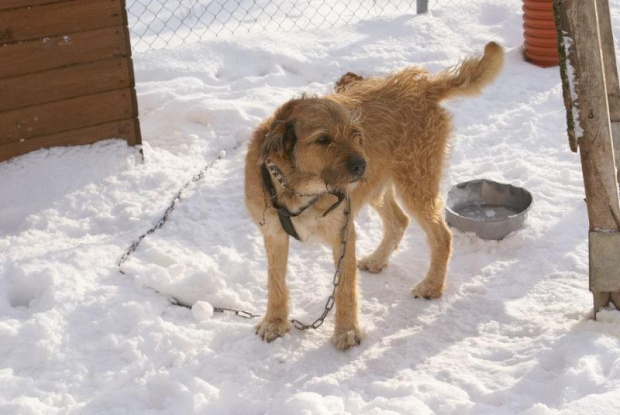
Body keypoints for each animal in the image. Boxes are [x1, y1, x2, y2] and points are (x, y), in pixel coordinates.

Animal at [242, 42, 504, 350]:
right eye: (323, 139)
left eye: (355, 133)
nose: (360, 165)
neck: (296, 187)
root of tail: (422, 85)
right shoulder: (273, 234)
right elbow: (276, 282)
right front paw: (275, 321)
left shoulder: (343, 232)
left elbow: (345, 288)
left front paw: (346, 331)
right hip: (379, 186)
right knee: (399, 221)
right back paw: (379, 260)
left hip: (415, 182)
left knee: (442, 235)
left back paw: (432, 285)